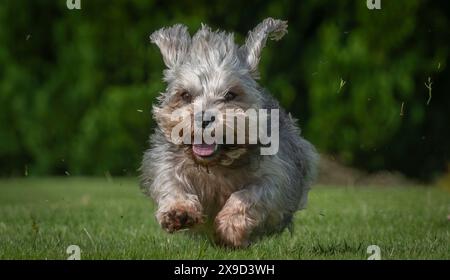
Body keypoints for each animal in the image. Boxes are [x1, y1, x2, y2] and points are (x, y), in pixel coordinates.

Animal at [141, 18, 316, 248]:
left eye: (230, 95)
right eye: (185, 95)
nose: (203, 118)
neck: (216, 165)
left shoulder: (277, 176)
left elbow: (249, 195)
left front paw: (230, 225)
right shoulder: (166, 163)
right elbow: (171, 184)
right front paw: (178, 211)